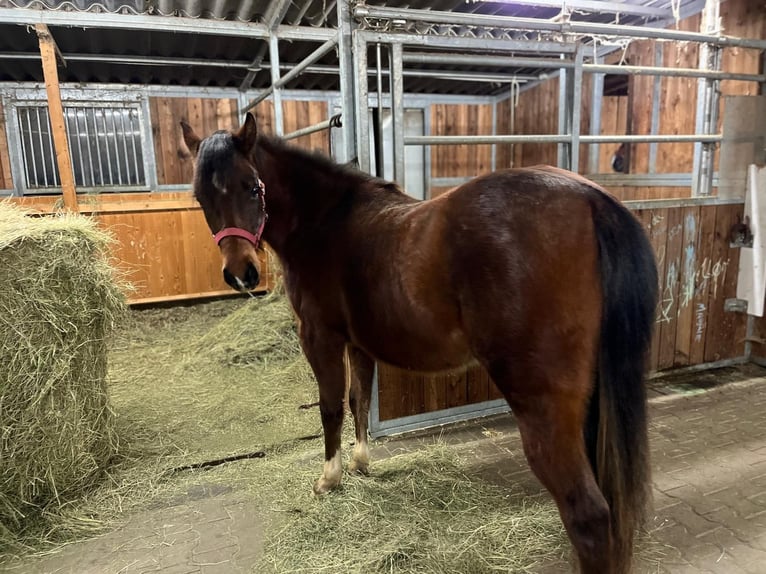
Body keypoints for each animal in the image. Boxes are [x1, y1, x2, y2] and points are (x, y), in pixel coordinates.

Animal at [180, 113, 660, 574]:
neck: (326, 223)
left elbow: (331, 407)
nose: (240, 274)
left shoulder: (319, 337)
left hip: (542, 405)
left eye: (251, 186)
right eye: (200, 198)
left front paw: (329, 479)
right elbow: (359, 400)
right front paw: (361, 464)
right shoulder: (359, 343)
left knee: (590, 516)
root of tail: (589, 199)